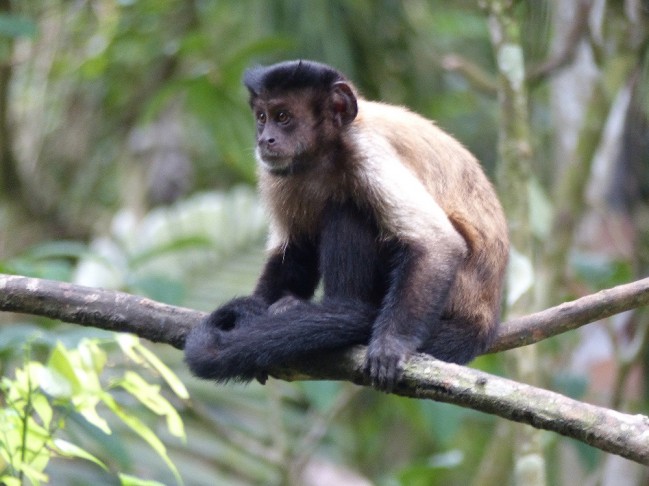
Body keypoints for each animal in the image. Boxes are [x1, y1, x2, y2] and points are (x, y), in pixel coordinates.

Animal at [185, 59, 508, 392]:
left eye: (283, 117)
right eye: (262, 118)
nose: (264, 139)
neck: (324, 156)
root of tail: (483, 320)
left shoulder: (366, 152)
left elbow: (437, 243)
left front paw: (392, 344)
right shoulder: (277, 173)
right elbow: (293, 248)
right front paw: (257, 313)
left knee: (347, 208)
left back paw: (345, 310)